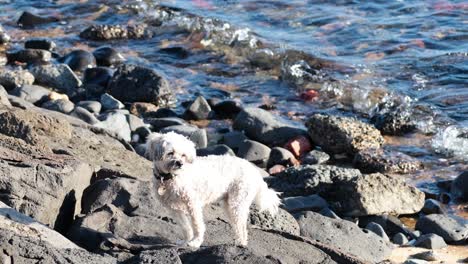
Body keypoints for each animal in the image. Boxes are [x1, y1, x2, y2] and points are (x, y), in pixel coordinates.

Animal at [144, 133, 280, 249]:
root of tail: (255, 171)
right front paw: (186, 241)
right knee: (238, 225)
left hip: (238, 201)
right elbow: (185, 226)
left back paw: (241, 243)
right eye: (170, 153)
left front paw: (195, 242)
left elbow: (197, 225)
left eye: (183, 155)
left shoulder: (193, 204)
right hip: (229, 203)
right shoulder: (173, 208)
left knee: (241, 225)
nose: (180, 163)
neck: (170, 177)